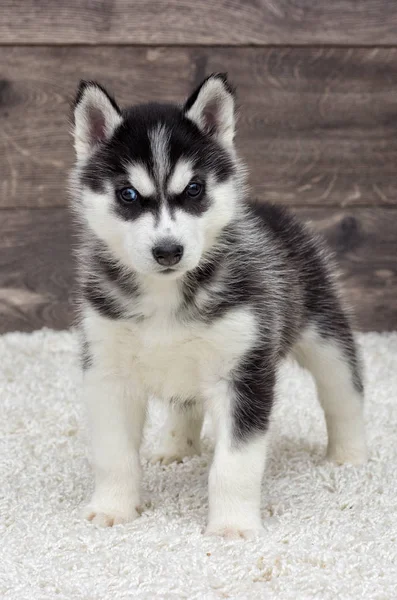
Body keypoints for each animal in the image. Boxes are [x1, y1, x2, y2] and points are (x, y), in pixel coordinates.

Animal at [70, 72, 366, 536]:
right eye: (128, 194)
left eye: (194, 189)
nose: (168, 251)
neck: (166, 295)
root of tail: (271, 210)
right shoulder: (107, 370)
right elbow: (114, 454)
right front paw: (112, 508)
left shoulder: (244, 372)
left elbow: (235, 466)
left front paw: (232, 526)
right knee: (185, 404)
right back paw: (175, 448)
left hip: (323, 332)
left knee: (343, 388)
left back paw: (350, 454)